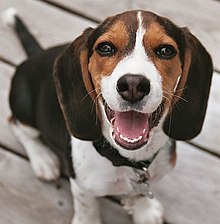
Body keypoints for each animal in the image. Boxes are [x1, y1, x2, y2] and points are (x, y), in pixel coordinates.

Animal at [3, 8, 213, 224]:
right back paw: (42, 160)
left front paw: (145, 209)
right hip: (24, 109)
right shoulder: (81, 185)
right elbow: (87, 207)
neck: (129, 159)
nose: (133, 85)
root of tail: (37, 54)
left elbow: (141, 192)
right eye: (105, 48)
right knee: (15, 124)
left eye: (166, 51)